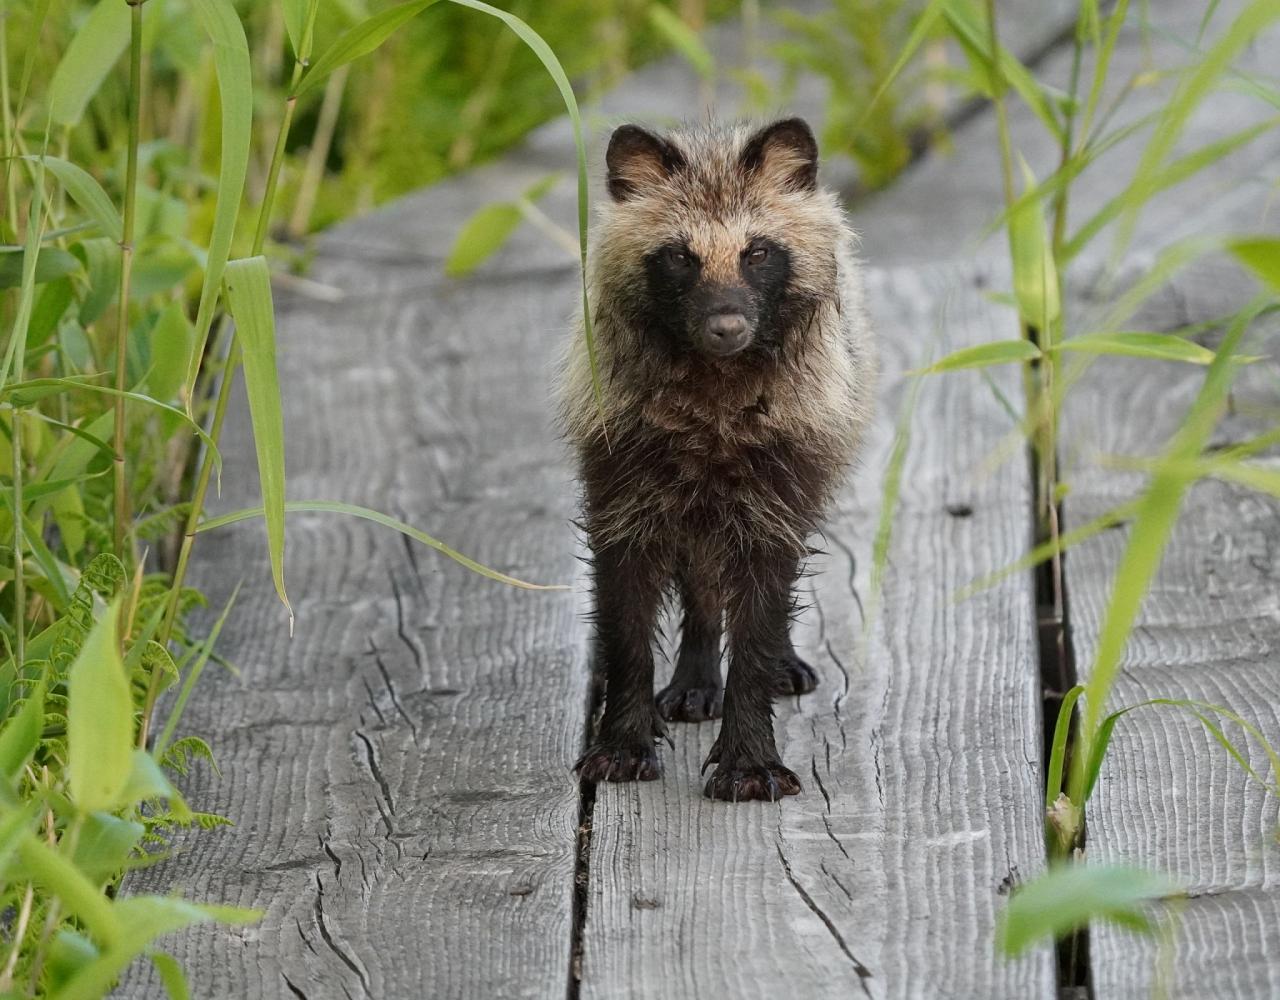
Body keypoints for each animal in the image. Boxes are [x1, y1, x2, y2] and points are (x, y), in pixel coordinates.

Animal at [565, 119, 875, 804]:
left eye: (757, 252)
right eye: (680, 256)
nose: (727, 328)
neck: (714, 389)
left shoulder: (780, 477)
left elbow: (761, 613)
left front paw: (749, 752)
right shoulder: (621, 475)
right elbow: (626, 619)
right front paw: (622, 738)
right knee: (703, 581)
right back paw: (698, 671)